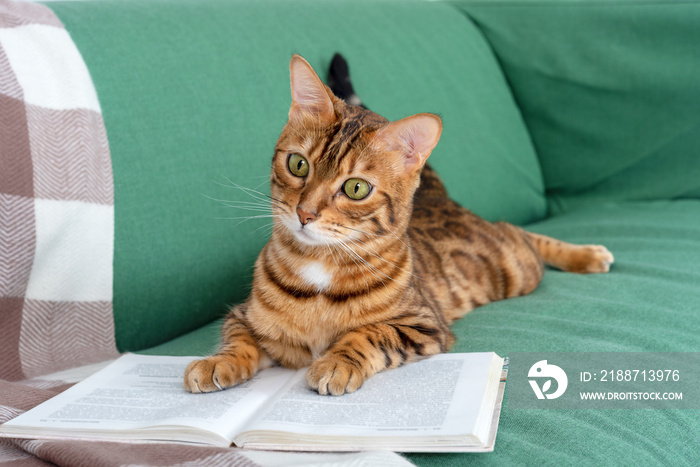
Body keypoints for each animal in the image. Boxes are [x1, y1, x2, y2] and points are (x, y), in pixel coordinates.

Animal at [185, 55, 612, 398]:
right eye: (298, 164)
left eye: (356, 188)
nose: (304, 213)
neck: (320, 267)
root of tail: (438, 198)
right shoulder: (243, 314)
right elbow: (237, 338)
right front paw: (217, 361)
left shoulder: (424, 325)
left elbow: (371, 333)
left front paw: (337, 361)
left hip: (514, 267)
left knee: (520, 232)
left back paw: (587, 255)